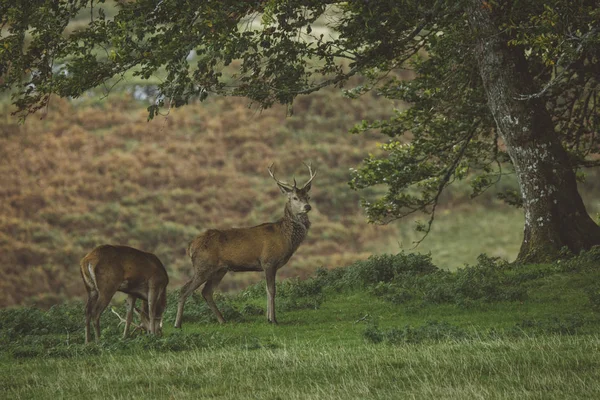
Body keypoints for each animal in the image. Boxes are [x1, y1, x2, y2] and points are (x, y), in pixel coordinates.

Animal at [175, 162, 318, 328]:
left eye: (308, 196)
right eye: (294, 197)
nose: (307, 207)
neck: (284, 237)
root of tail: (190, 246)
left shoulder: (267, 265)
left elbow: (266, 290)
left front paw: (268, 318)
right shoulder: (268, 261)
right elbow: (272, 290)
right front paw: (274, 319)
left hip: (219, 269)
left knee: (206, 292)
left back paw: (222, 320)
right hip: (203, 266)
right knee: (185, 289)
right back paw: (177, 324)